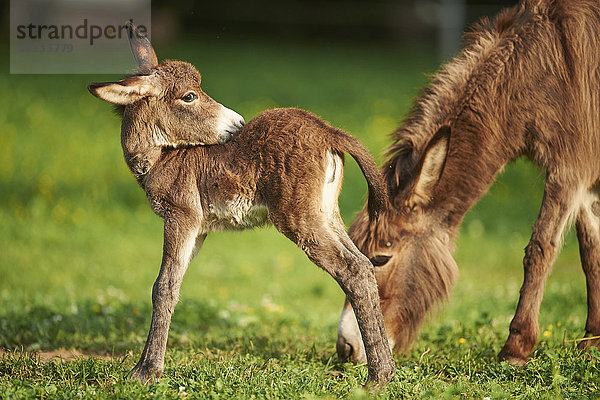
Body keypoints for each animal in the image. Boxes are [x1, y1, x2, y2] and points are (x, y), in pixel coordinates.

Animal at [89, 23, 394, 386]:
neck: (166, 156)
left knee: (353, 270)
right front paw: (146, 366)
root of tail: (328, 131)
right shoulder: (198, 229)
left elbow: (163, 287)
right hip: (325, 214)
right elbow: (174, 283)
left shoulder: (181, 217)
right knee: (364, 264)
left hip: (299, 219)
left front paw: (146, 371)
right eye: (189, 96)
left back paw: (378, 376)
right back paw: (387, 369)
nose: (238, 123)